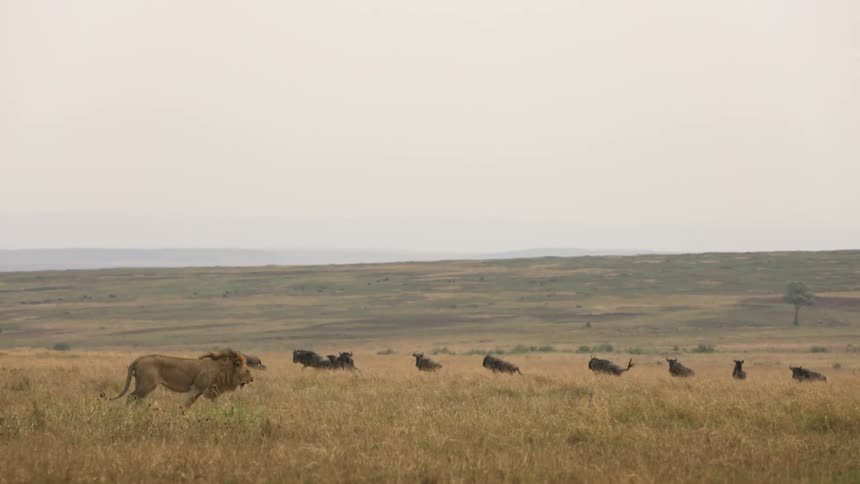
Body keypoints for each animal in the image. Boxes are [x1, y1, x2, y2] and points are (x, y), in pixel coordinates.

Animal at [110, 349, 253, 408]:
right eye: (244, 368)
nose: (252, 379)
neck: (222, 370)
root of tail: (139, 359)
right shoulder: (196, 388)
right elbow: (186, 404)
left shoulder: (210, 392)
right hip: (146, 385)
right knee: (131, 397)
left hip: (144, 387)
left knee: (136, 399)